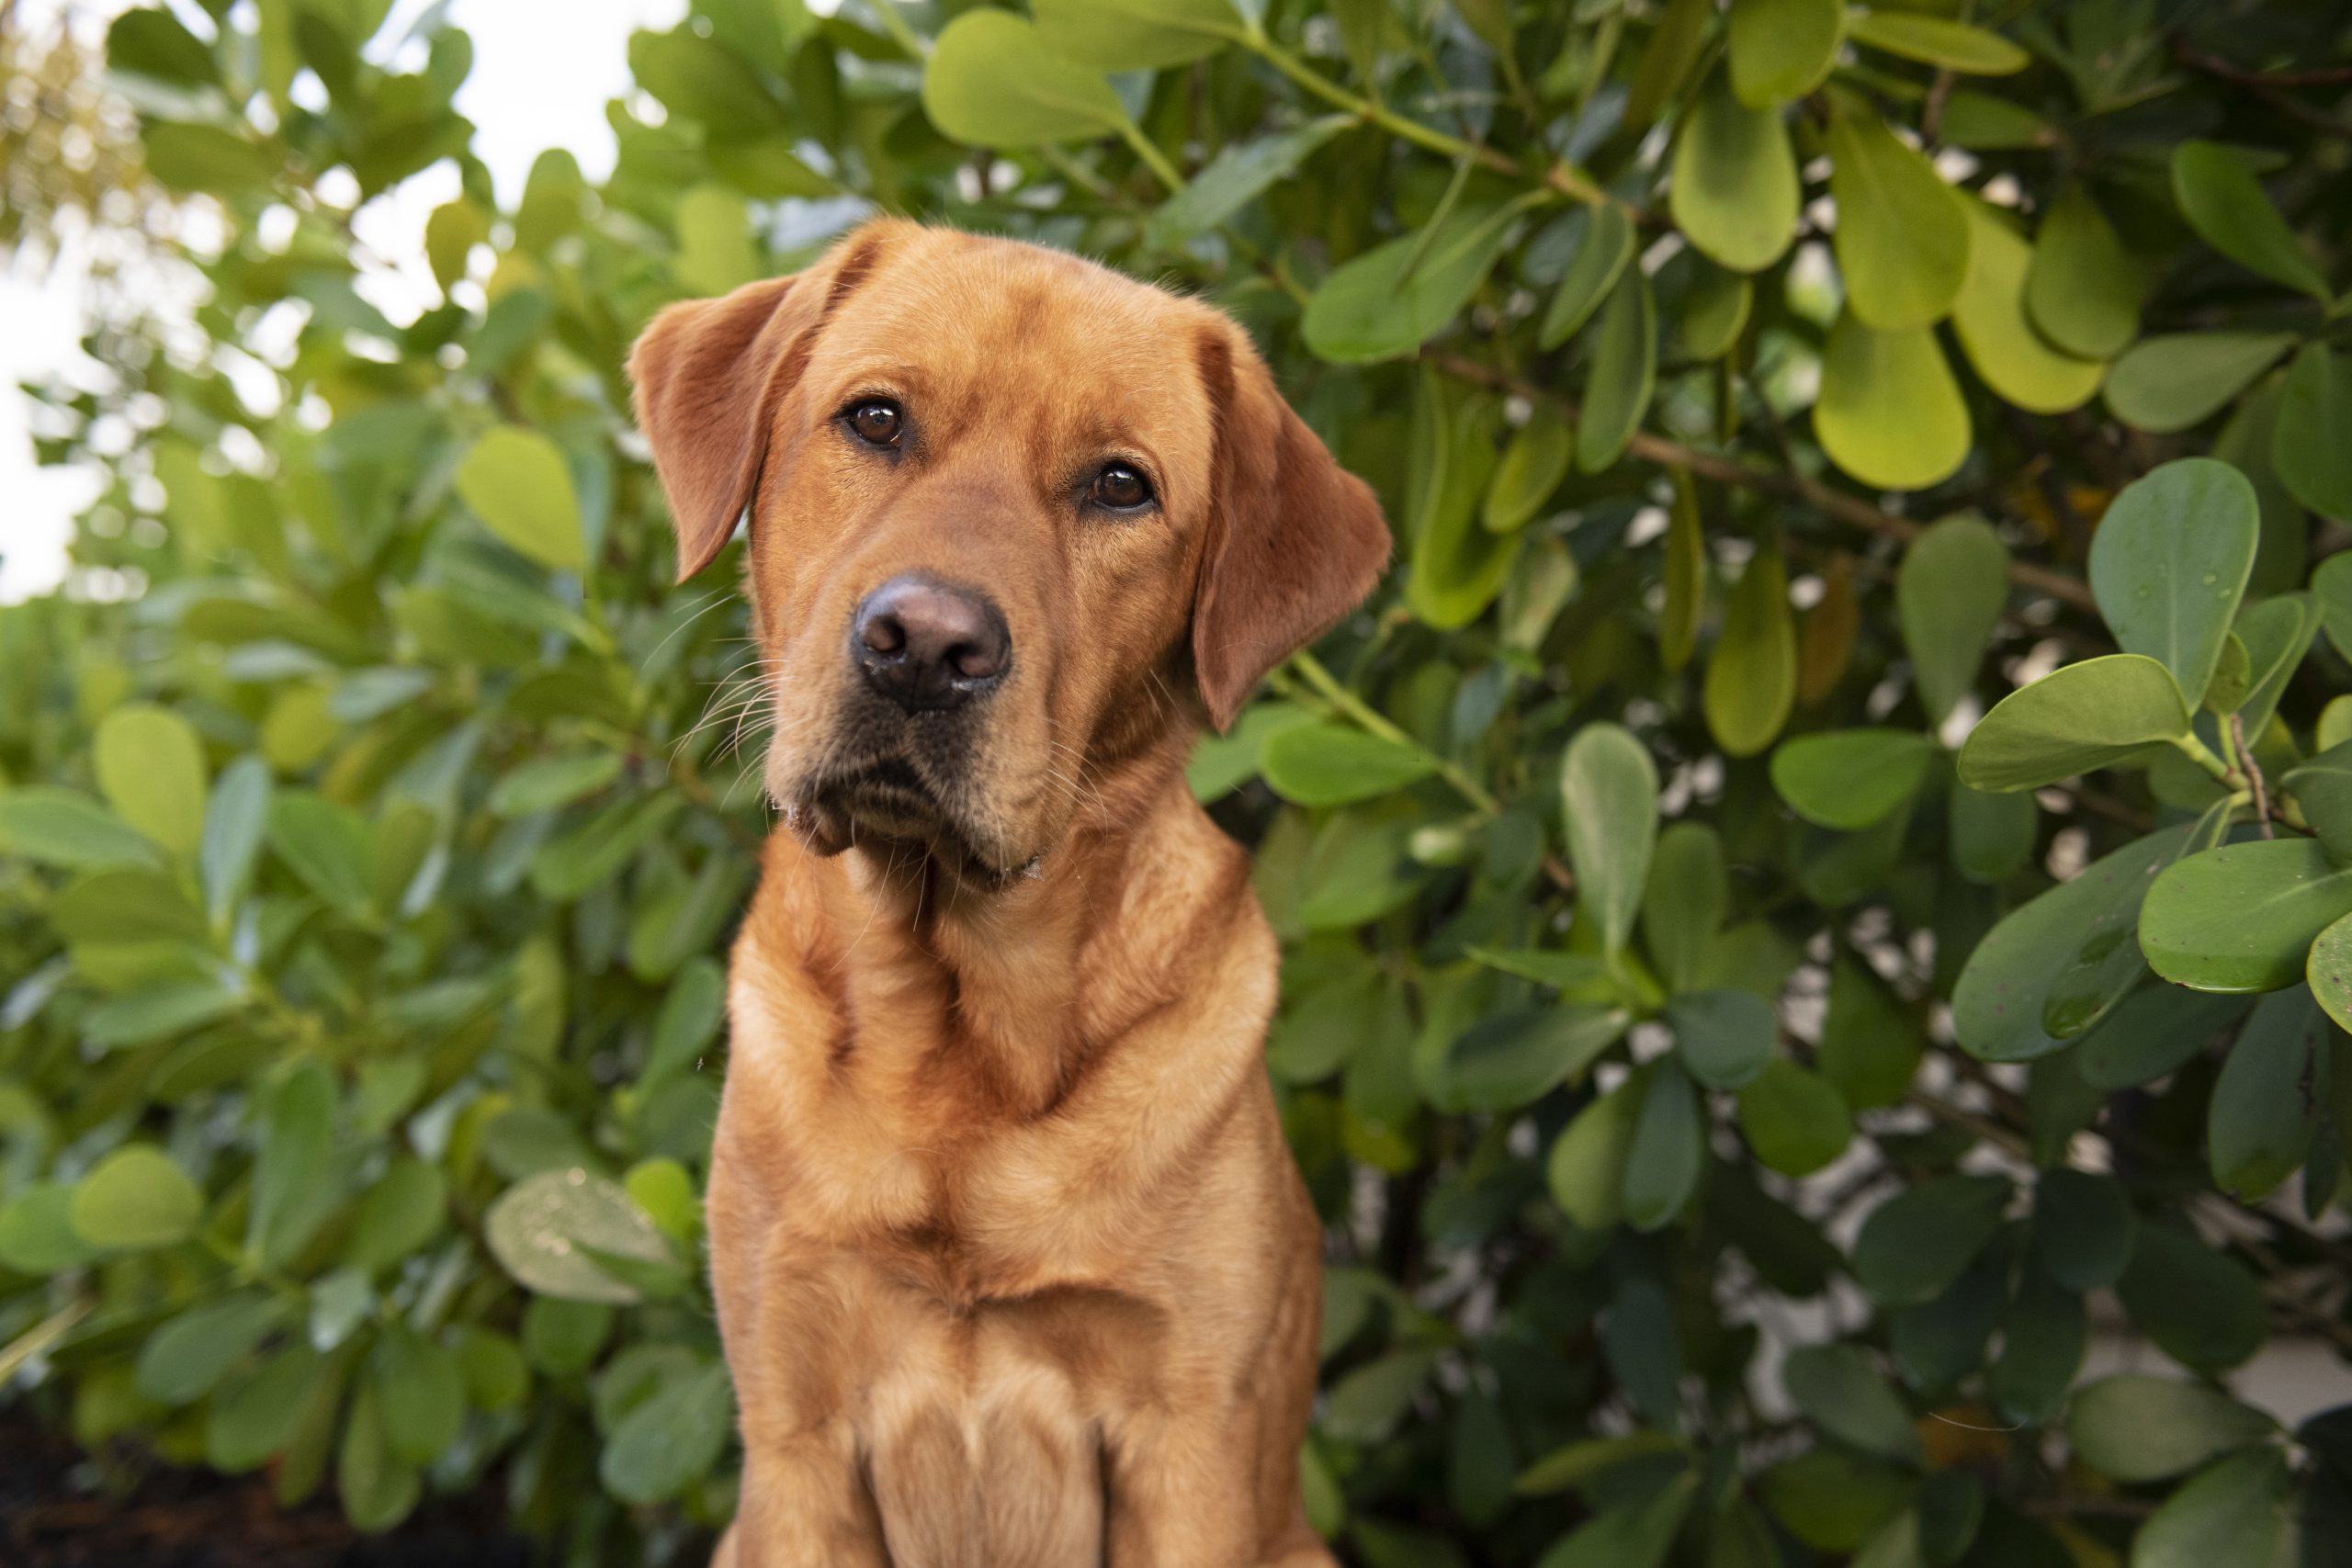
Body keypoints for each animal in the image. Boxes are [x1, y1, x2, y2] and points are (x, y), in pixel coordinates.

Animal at [630, 220, 1392, 1568]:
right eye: (876, 419)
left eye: (1120, 486)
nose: (926, 647)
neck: (957, 1050)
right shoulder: (795, 1440)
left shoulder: (1188, 1450)